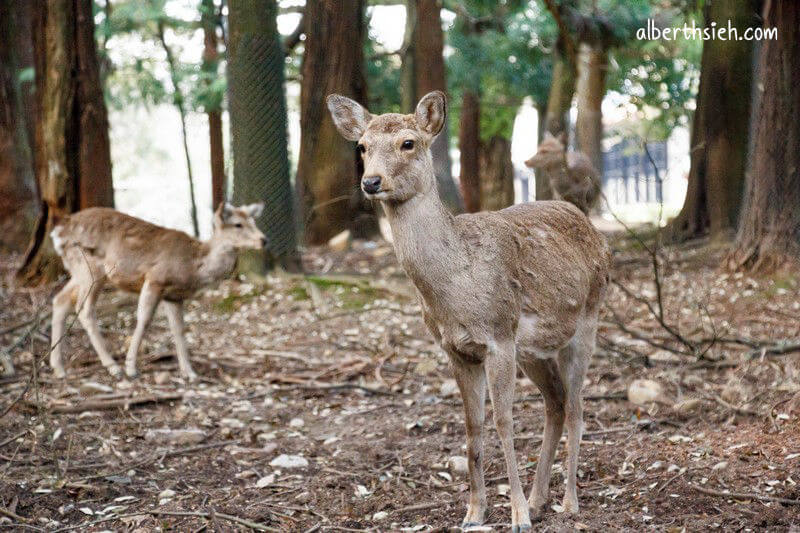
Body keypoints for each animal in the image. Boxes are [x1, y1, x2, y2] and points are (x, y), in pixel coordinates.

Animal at [50, 202, 266, 380]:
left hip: (78, 271)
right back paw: (113, 367)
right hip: (90, 268)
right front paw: (131, 368)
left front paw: (189, 373)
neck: (193, 265)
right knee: (84, 309)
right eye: (238, 224)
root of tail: (58, 232)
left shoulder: (174, 296)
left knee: (60, 300)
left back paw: (58, 368)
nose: (264, 240)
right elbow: (144, 321)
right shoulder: (155, 279)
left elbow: (179, 329)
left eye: (254, 221)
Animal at [328, 90, 608, 528]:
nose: (371, 181)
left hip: (586, 321)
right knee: (557, 403)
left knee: (579, 406)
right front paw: (475, 512)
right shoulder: (457, 348)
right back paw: (540, 498)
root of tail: (592, 228)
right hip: (534, 350)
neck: (457, 288)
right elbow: (472, 425)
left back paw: (568, 501)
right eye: (362, 146)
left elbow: (504, 421)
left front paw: (517, 516)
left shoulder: (499, 336)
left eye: (408, 142)